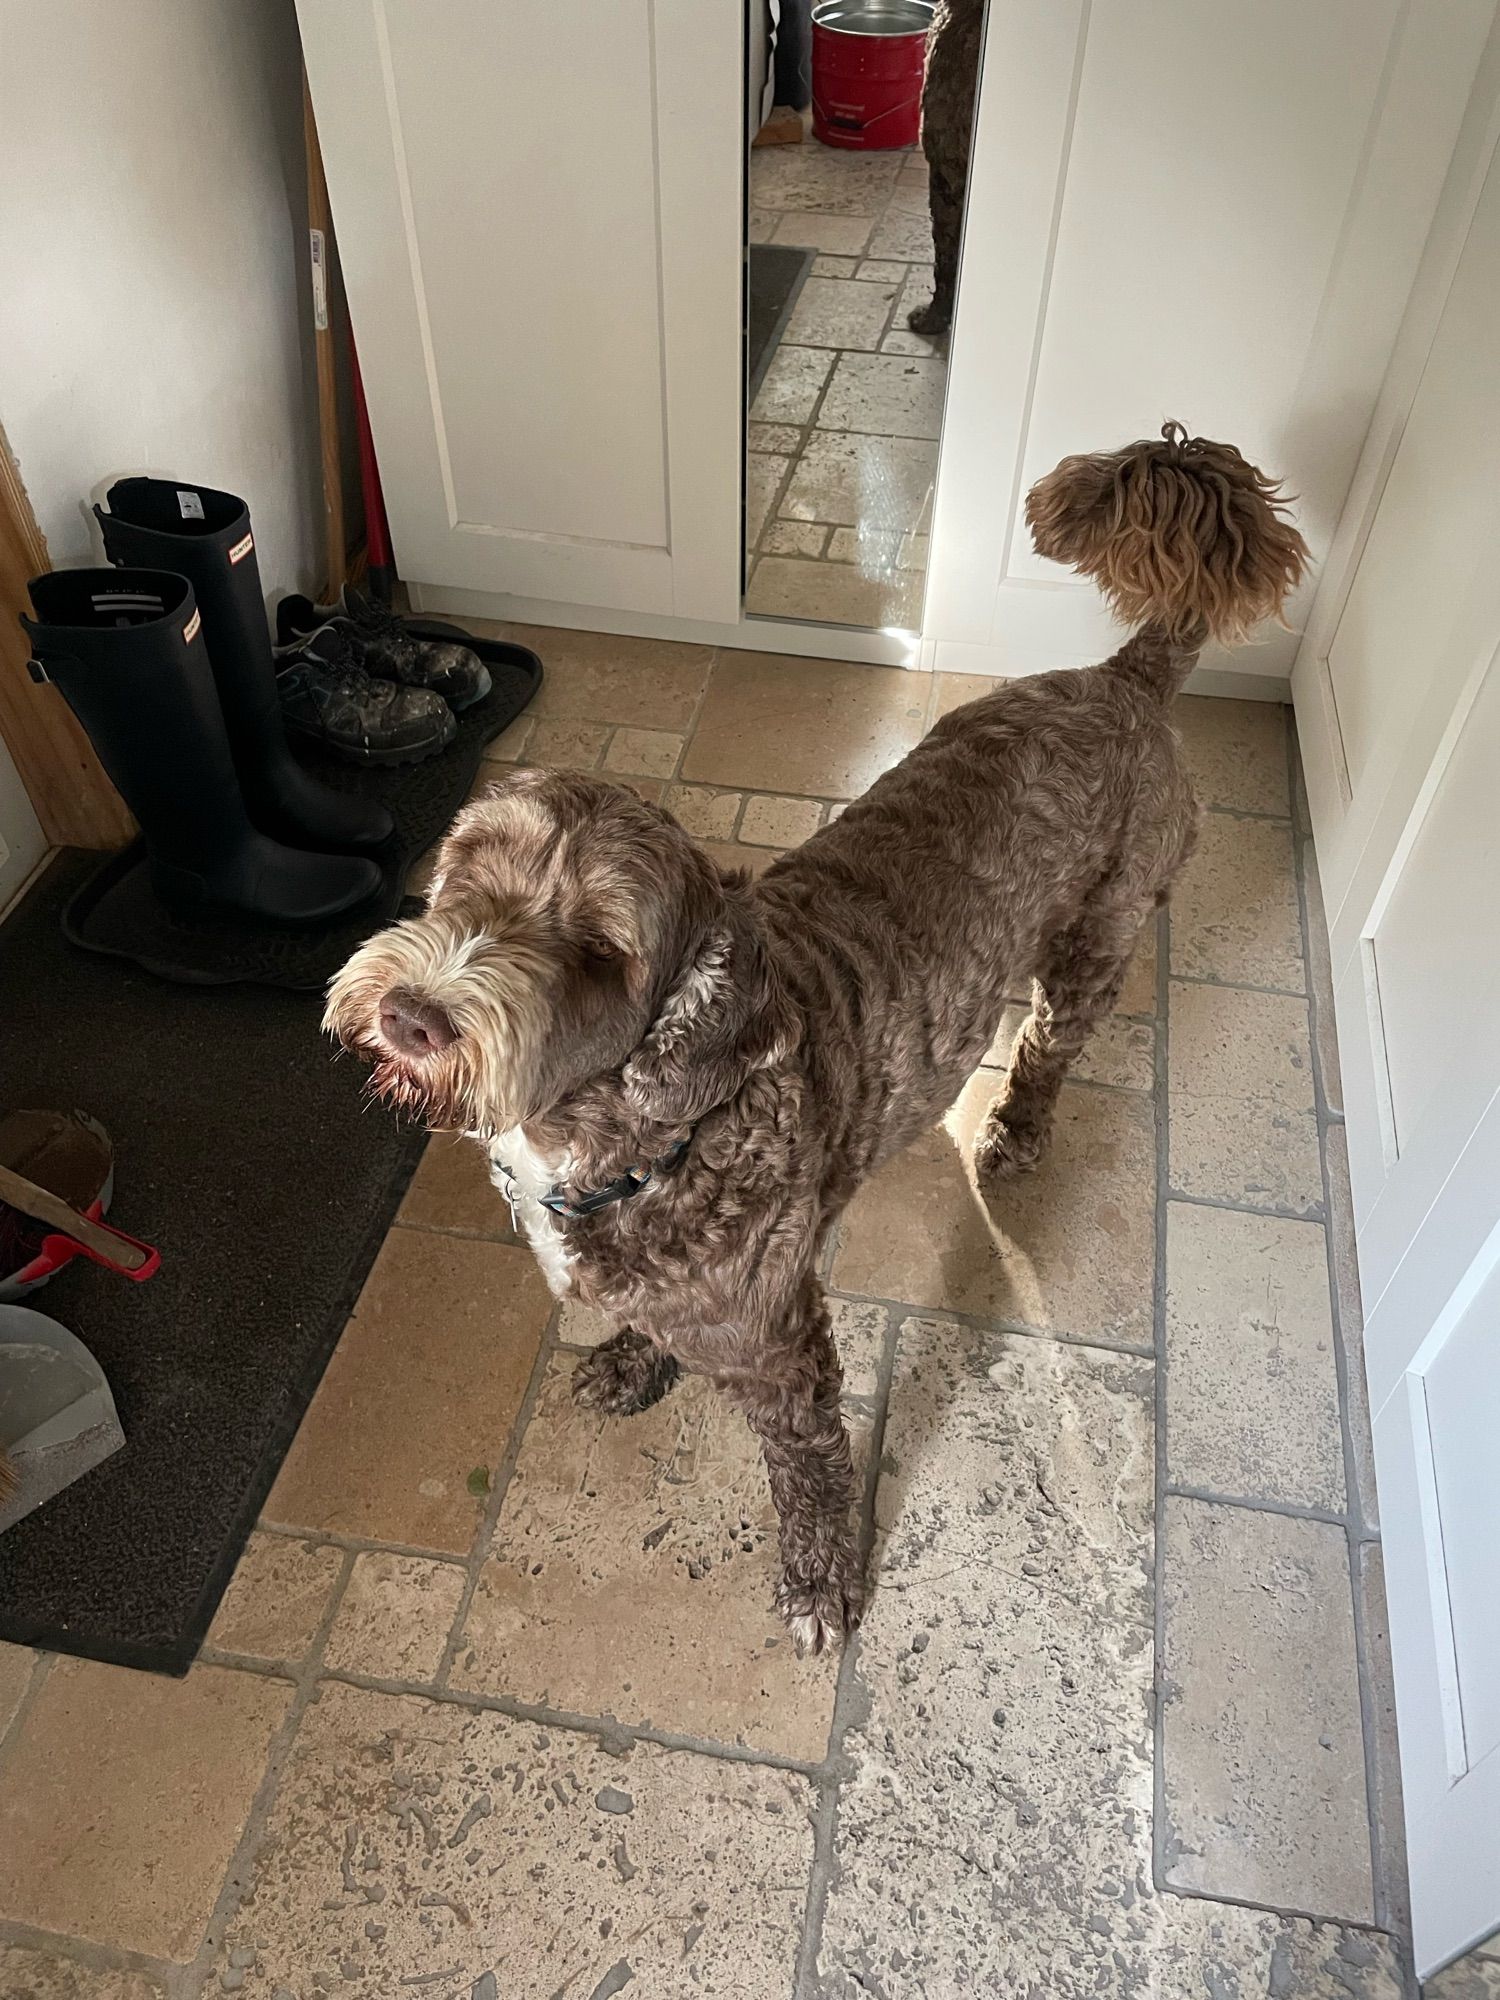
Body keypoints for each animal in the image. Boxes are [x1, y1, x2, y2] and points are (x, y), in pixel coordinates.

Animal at [326, 426, 1304, 1656]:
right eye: (465, 873)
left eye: (601, 952)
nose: (411, 1013)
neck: (658, 1140)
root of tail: (1119, 678)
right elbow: (653, 1329)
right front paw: (635, 1362)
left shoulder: (782, 1346)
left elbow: (809, 1468)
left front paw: (821, 1579)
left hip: (1098, 937)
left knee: (1050, 1047)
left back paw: (1017, 1132)